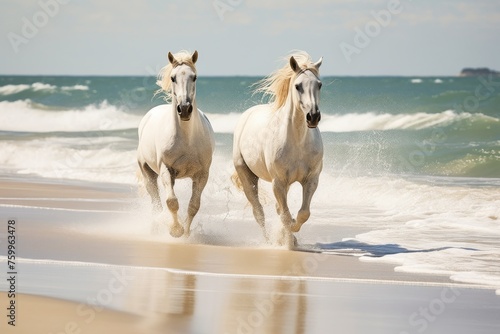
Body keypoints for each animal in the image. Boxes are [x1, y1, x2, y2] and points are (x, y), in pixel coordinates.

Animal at [137, 50, 215, 237]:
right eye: (173, 78)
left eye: (194, 77)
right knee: (156, 202)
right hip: (148, 172)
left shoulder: (202, 174)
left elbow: (193, 206)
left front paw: (186, 232)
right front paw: (176, 230)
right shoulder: (166, 170)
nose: (184, 109)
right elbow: (172, 201)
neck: (187, 139)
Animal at [233, 51, 324, 247]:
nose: (313, 117)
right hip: (247, 177)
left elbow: (303, 213)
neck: (297, 141)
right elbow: (285, 215)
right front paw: (288, 241)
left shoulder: (311, 180)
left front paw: (292, 236)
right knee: (258, 212)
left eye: (319, 84)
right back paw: (269, 241)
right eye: (298, 86)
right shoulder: (279, 182)